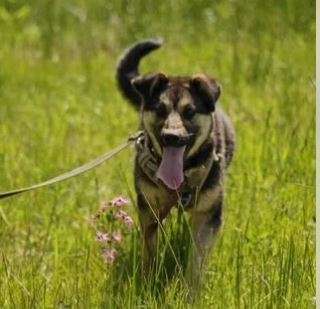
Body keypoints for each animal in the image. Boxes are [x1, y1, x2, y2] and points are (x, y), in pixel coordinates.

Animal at [115, 38, 235, 286]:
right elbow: (149, 250)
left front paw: (190, 289)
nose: (171, 136)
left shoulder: (208, 215)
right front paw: (148, 284)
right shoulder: (149, 210)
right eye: (160, 110)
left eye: (189, 112)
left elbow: (196, 261)